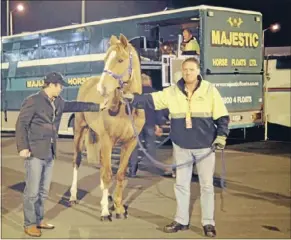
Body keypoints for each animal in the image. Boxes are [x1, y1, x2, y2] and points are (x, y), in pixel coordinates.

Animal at [68, 33, 146, 221]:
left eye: (120, 60)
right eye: (105, 60)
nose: (101, 89)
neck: (126, 108)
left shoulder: (130, 143)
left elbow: (119, 174)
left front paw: (118, 208)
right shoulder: (107, 140)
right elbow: (108, 174)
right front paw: (105, 211)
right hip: (80, 131)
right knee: (77, 161)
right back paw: (73, 196)